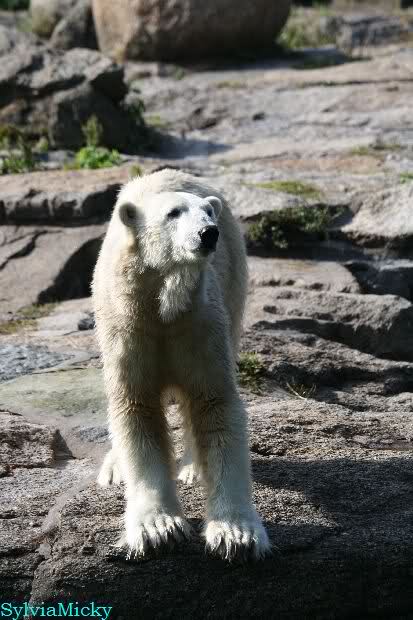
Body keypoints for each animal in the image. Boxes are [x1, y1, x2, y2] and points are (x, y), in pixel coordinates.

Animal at [92, 168, 270, 561]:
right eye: (173, 213)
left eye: (207, 212)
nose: (208, 232)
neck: (162, 306)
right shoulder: (129, 329)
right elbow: (136, 408)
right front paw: (158, 528)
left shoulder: (199, 324)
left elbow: (214, 404)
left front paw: (236, 534)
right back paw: (114, 468)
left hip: (234, 286)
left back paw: (191, 467)